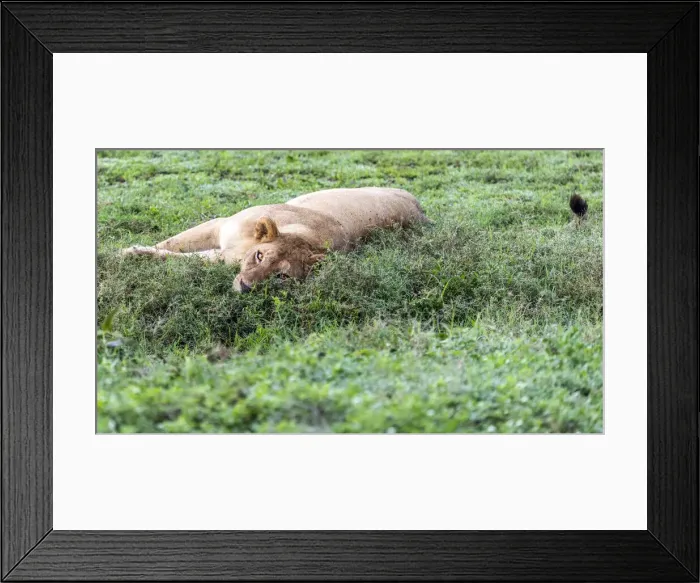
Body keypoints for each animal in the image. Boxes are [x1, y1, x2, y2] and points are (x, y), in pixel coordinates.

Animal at [121, 187, 427, 292]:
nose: (246, 288)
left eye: (282, 277)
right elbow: (172, 243)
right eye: (260, 256)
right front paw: (130, 251)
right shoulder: (219, 225)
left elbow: (182, 258)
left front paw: (134, 253)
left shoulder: (223, 256)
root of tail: (422, 211)